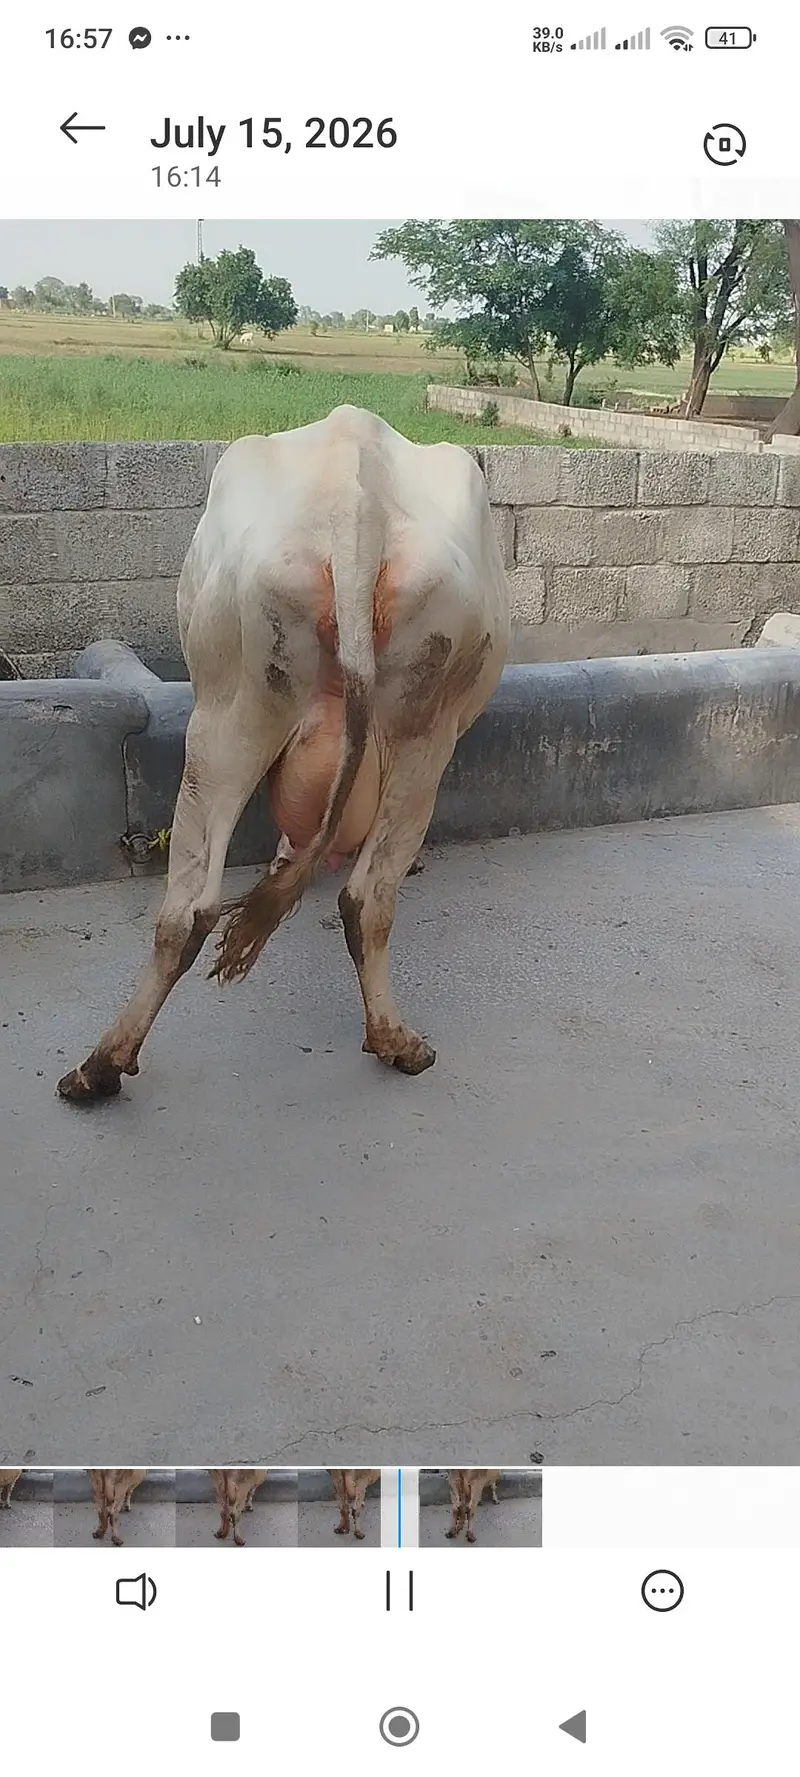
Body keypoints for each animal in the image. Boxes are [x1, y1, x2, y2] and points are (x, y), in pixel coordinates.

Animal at [57, 405, 510, 1103]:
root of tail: (357, 510)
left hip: (229, 716)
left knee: (190, 909)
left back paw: (100, 1066)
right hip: (419, 734)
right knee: (364, 898)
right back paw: (395, 1040)